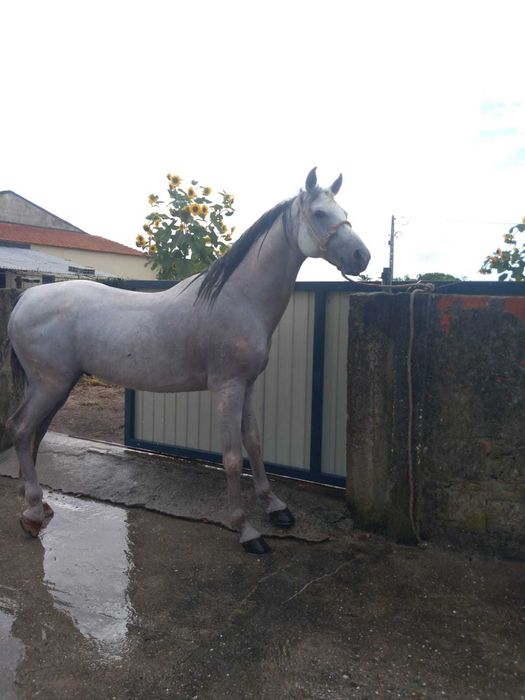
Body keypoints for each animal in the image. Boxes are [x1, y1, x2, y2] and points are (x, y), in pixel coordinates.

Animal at [7, 168, 370, 554]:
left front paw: (275, 507)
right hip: (51, 384)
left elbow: (255, 443)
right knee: (22, 428)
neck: (238, 298)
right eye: (320, 213)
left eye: (345, 211)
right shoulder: (227, 388)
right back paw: (32, 512)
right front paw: (247, 530)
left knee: (32, 431)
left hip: (56, 386)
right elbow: (232, 457)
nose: (362, 256)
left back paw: (35, 502)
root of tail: (26, 297)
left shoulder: (247, 386)